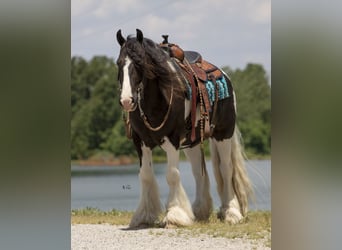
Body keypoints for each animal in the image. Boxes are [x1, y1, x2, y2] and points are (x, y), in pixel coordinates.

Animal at [115, 28, 251, 228]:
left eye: (139, 63)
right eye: (118, 63)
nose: (126, 101)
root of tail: (224, 75)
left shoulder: (172, 140)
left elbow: (172, 175)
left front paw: (175, 215)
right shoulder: (140, 142)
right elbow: (146, 175)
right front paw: (144, 216)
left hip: (223, 134)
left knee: (226, 169)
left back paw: (231, 212)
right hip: (192, 143)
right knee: (198, 172)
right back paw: (200, 211)